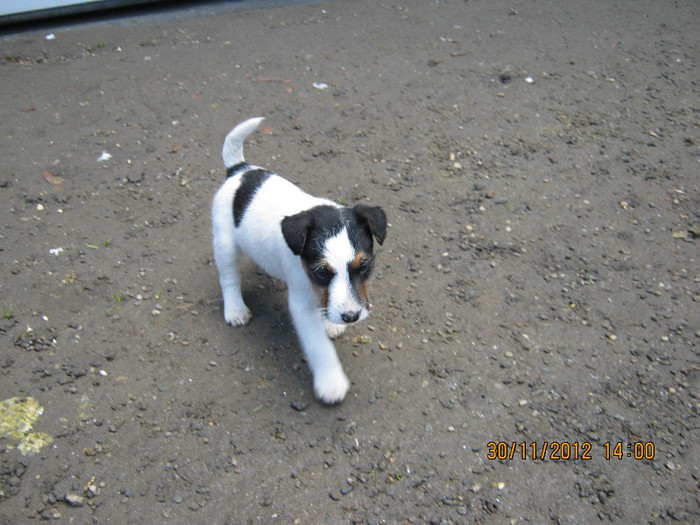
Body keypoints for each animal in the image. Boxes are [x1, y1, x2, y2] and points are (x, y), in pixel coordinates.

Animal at [213, 118, 388, 404]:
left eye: (363, 266)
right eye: (322, 272)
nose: (350, 317)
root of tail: (239, 170)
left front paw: (330, 323)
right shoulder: (300, 304)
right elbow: (318, 346)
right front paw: (331, 383)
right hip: (224, 243)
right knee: (228, 278)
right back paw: (235, 309)